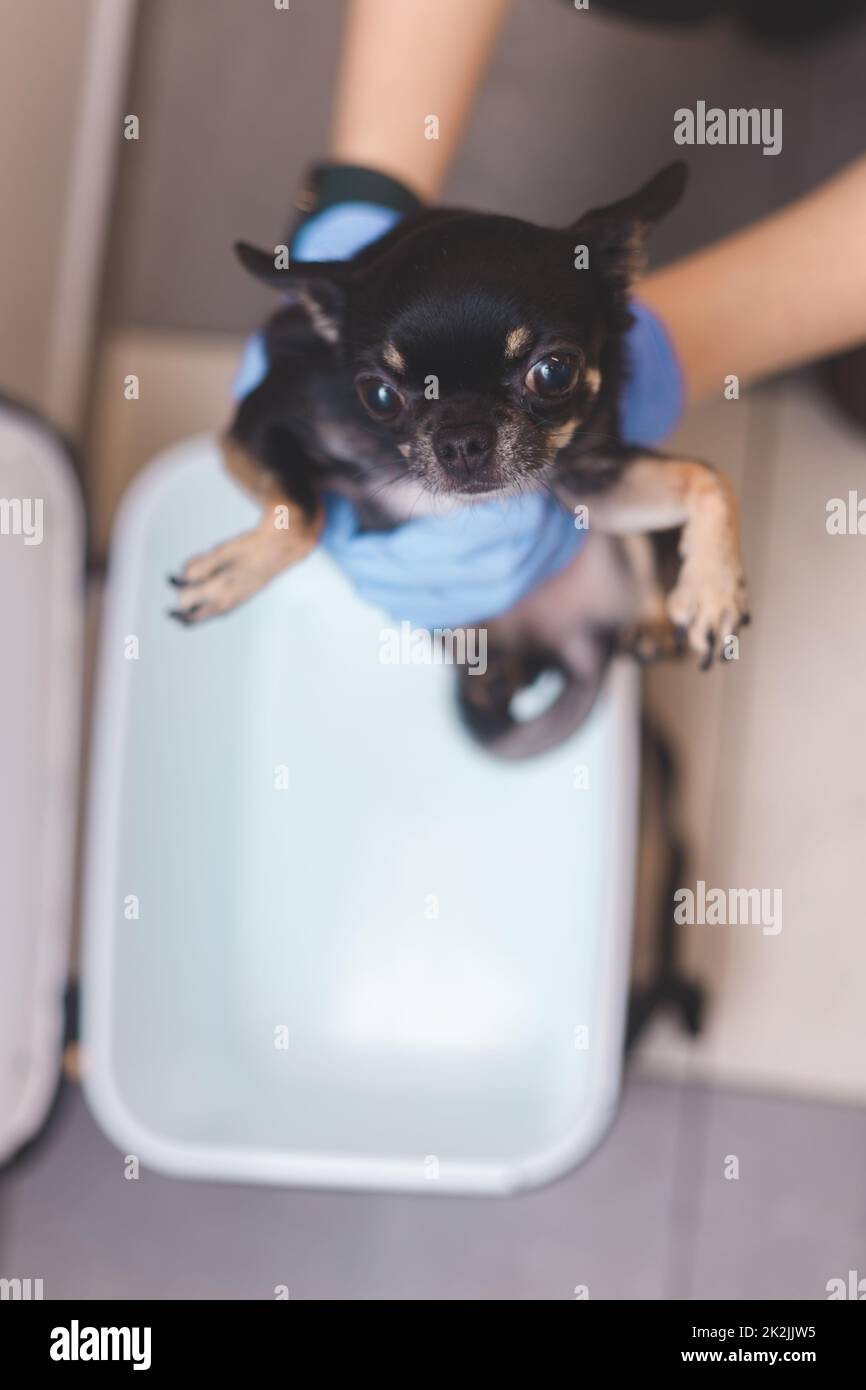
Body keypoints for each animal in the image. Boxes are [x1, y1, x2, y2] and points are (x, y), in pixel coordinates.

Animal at [169, 168, 745, 767]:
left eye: (555, 371)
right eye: (378, 395)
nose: (462, 440)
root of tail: (578, 642)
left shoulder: (588, 480)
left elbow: (708, 480)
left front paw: (714, 589)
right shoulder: (257, 425)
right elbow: (304, 516)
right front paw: (233, 574)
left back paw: (651, 621)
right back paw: (496, 676)